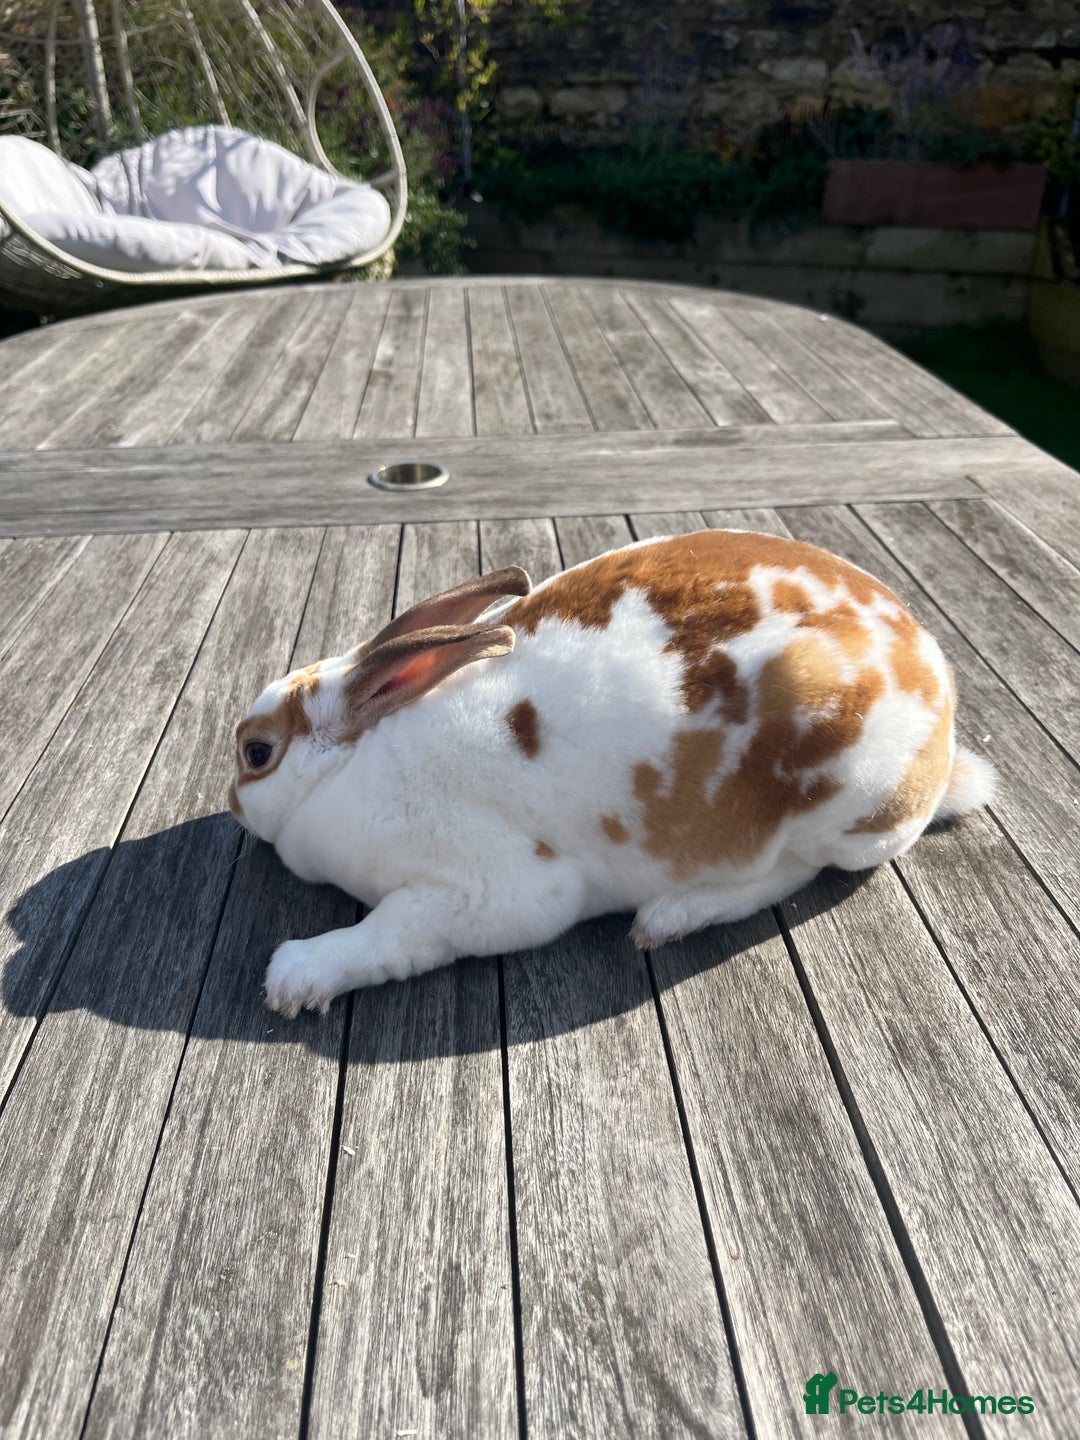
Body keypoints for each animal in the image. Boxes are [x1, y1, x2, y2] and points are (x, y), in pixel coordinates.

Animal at [229, 529, 996, 1017]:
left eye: (256, 753)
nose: (230, 804)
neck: (351, 762)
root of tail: (944, 732)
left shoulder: (486, 892)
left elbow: (386, 936)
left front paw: (294, 979)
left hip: (837, 804)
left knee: (789, 874)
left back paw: (666, 918)